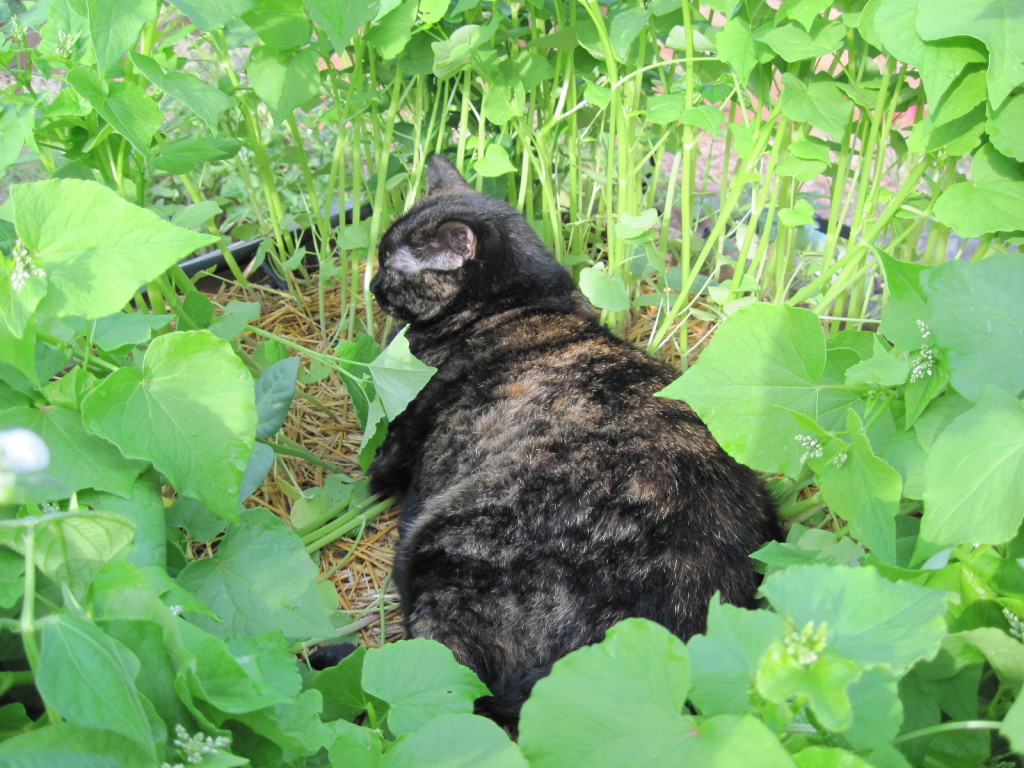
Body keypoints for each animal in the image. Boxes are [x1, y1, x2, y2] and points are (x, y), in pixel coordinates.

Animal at [366, 154, 774, 729]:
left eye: (391, 264)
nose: (373, 284)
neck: (517, 304)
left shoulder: (398, 437)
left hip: (442, 543)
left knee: (440, 684)